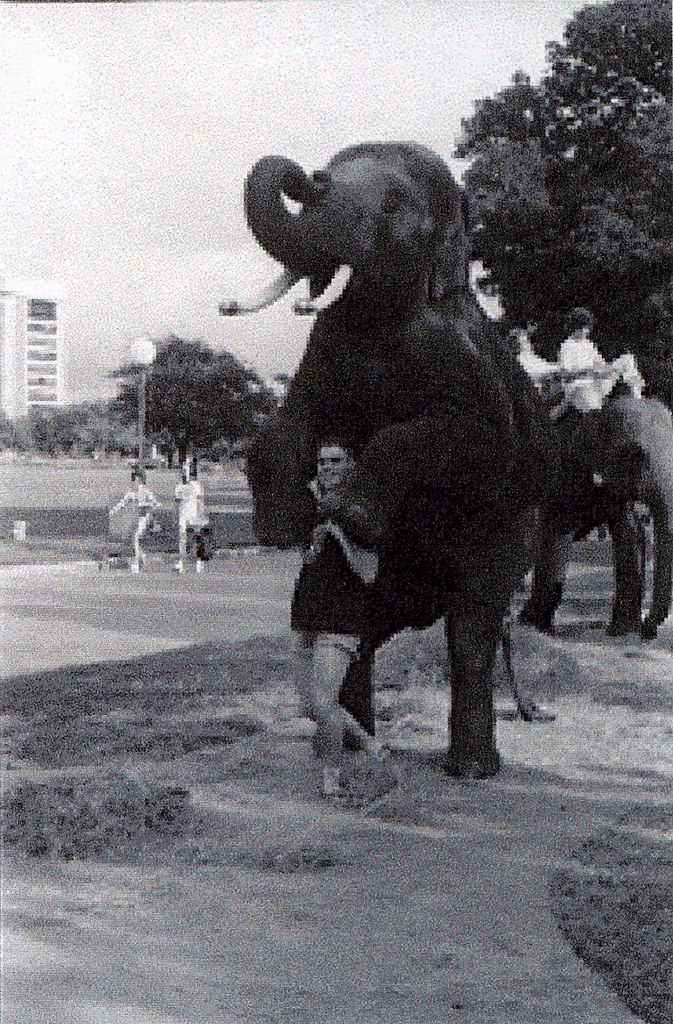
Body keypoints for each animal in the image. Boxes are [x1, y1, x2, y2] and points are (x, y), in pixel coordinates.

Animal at [223, 142, 554, 778]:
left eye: (395, 204)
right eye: (333, 170)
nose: (310, 177)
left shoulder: (467, 361)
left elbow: (472, 441)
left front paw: (354, 512)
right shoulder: (322, 349)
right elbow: (287, 422)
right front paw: (283, 527)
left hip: (504, 537)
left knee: (471, 628)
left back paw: (472, 769)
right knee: (364, 636)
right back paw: (356, 750)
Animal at [521, 391, 673, 640]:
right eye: (636, 454)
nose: (647, 631)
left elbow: (629, 533)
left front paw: (622, 631)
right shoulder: (569, 468)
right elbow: (559, 528)